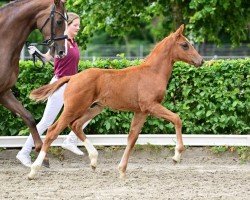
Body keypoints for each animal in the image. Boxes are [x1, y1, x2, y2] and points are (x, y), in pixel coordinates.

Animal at [27, 24, 203, 179]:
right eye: (185, 45)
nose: (200, 61)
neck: (152, 72)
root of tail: (73, 77)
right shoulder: (151, 106)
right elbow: (177, 118)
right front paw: (177, 155)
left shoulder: (141, 111)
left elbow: (132, 138)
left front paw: (122, 170)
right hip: (74, 108)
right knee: (52, 131)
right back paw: (33, 171)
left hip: (94, 108)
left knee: (76, 125)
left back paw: (94, 160)